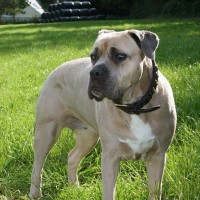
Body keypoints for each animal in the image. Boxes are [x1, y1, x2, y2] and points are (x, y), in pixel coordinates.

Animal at [29, 28, 177, 199]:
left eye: (119, 56)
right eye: (93, 56)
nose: (94, 72)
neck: (134, 107)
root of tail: (56, 69)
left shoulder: (157, 157)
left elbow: (154, 191)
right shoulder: (110, 158)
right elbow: (108, 192)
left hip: (88, 136)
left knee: (72, 157)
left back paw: (74, 187)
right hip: (46, 132)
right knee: (37, 166)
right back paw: (35, 193)